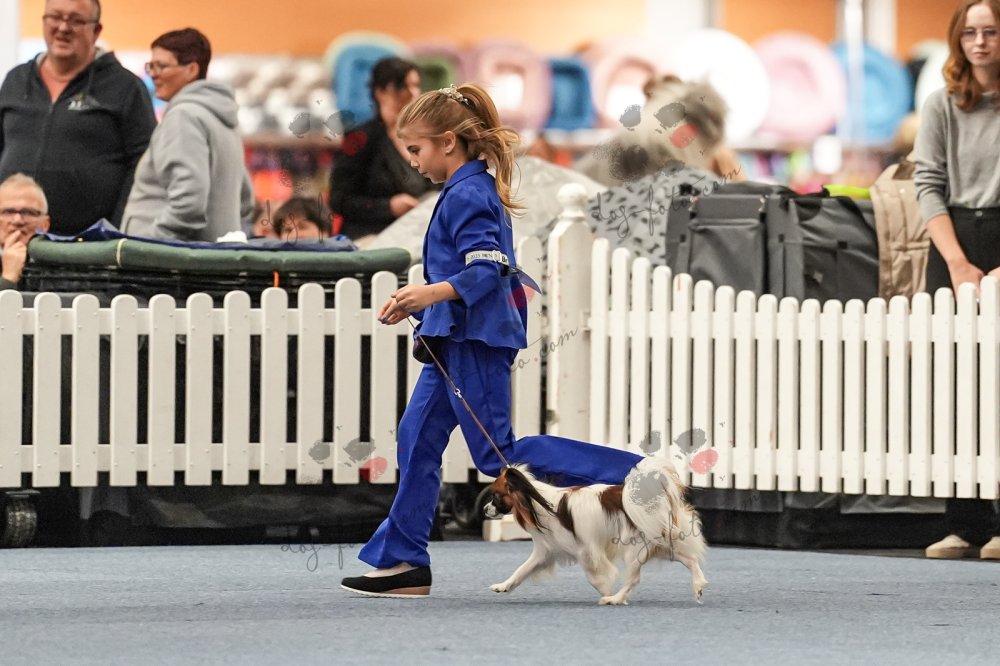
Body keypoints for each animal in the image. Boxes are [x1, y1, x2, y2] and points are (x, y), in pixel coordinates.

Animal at [484, 457, 707, 605]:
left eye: (496, 496)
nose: (485, 509)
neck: (538, 502)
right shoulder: (544, 553)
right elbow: (521, 570)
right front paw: (503, 586)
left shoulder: (586, 551)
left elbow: (594, 578)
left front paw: (606, 592)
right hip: (660, 544)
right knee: (690, 560)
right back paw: (698, 585)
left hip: (634, 550)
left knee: (634, 578)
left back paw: (615, 599)